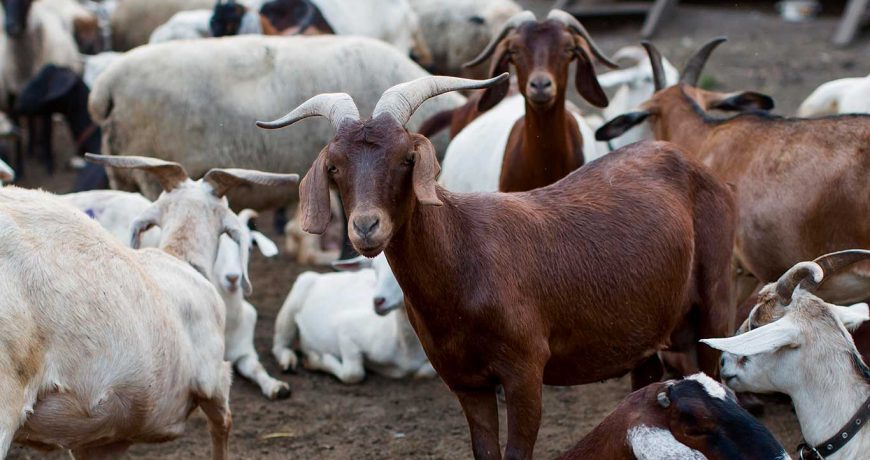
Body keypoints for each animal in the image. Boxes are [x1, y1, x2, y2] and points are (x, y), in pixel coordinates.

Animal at [272, 253, 434, 383]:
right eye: (375, 269)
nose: (378, 301)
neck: (407, 349)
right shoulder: (347, 329)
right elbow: (353, 373)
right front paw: (315, 359)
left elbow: (423, 374)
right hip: (291, 305)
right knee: (279, 344)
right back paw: (288, 362)